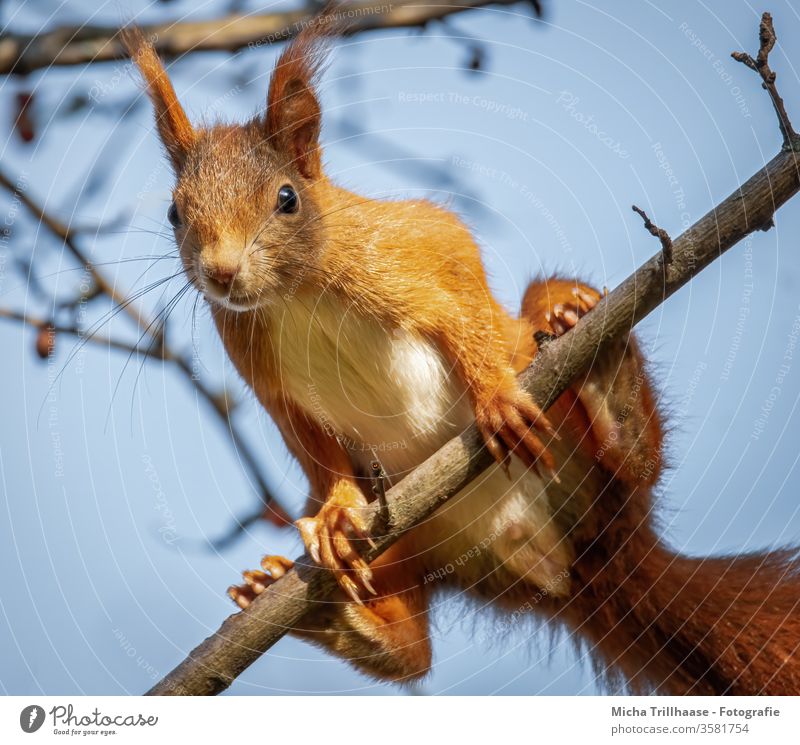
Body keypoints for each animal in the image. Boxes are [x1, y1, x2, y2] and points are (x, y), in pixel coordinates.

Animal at [123, 23, 800, 696]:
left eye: (287, 199)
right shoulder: (265, 377)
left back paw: (606, 372)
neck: (296, 296)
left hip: (579, 439)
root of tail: (586, 562)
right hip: (414, 542)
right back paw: (338, 619)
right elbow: (311, 448)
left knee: (637, 466)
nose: (221, 272)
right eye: (174, 212)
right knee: (413, 654)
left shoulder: (418, 253)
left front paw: (495, 397)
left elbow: (464, 308)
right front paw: (335, 511)